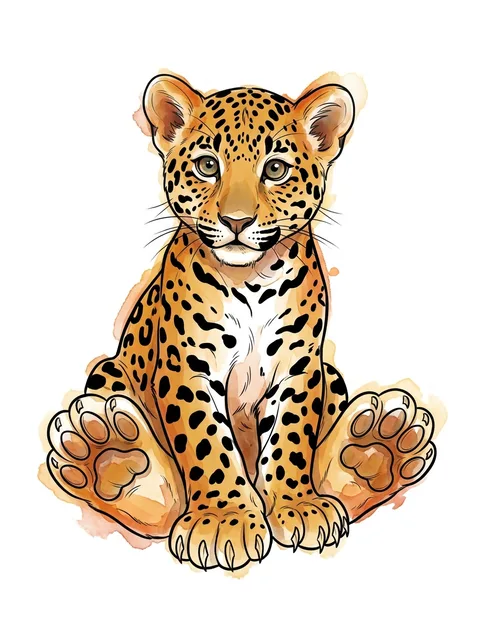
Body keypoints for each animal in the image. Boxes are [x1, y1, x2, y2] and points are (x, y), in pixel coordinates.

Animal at [44, 72, 438, 571]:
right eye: (207, 165)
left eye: (276, 169)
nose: (236, 221)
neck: (250, 280)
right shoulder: (186, 365)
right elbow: (206, 439)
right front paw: (222, 519)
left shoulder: (299, 365)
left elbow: (291, 435)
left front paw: (297, 506)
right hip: (110, 371)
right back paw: (109, 453)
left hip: (331, 376)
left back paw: (377, 446)